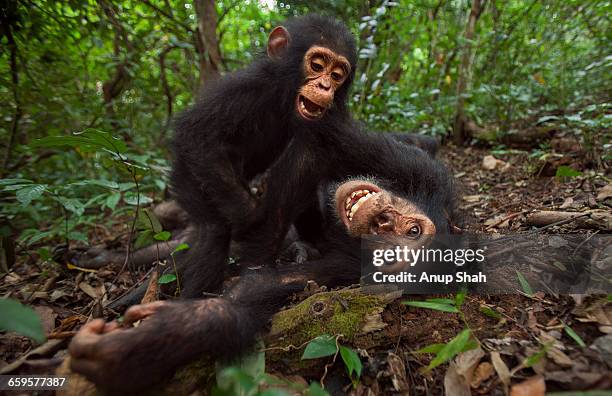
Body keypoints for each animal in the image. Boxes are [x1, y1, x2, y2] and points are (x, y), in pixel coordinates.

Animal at [69, 131, 456, 392]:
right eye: (413, 230)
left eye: (393, 252)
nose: (384, 221)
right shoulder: (420, 171)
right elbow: (317, 150)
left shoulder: (343, 269)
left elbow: (260, 289)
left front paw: (153, 339)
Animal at [171, 13, 358, 296]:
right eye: (317, 64)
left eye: (337, 74)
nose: (325, 85)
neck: (284, 95)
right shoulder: (245, 89)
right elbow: (197, 135)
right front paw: (251, 219)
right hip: (186, 177)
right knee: (213, 230)